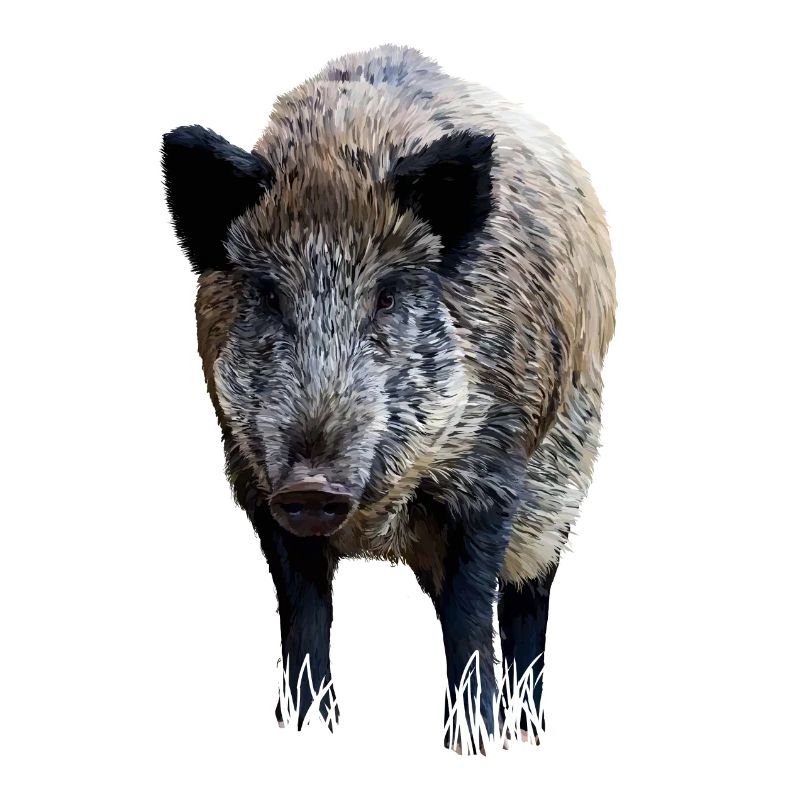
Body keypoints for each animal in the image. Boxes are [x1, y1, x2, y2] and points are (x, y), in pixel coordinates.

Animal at [161, 44, 616, 753]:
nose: (313, 485)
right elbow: (304, 617)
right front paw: (308, 732)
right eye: (268, 294)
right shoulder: (255, 484)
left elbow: (470, 618)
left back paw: (528, 736)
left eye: (389, 295)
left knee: (527, 605)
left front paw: (473, 744)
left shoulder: (493, 473)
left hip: (566, 477)